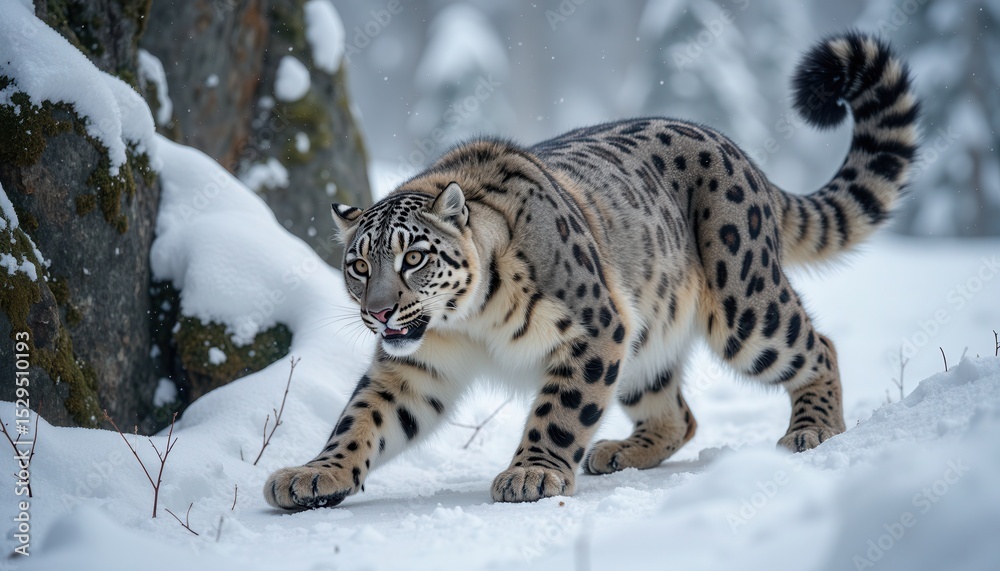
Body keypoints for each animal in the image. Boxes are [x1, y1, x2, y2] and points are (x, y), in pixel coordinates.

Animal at [264, 31, 919, 509]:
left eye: (414, 257)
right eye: (357, 264)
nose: (378, 312)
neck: (469, 324)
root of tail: (740, 154)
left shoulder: (593, 328)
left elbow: (560, 410)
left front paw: (531, 474)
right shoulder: (414, 367)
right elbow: (363, 417)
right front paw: (312, 475)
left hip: (745, 306)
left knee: (816, 346)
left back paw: (812, 430)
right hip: (645, 342)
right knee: (679, 414)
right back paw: (620, 452)